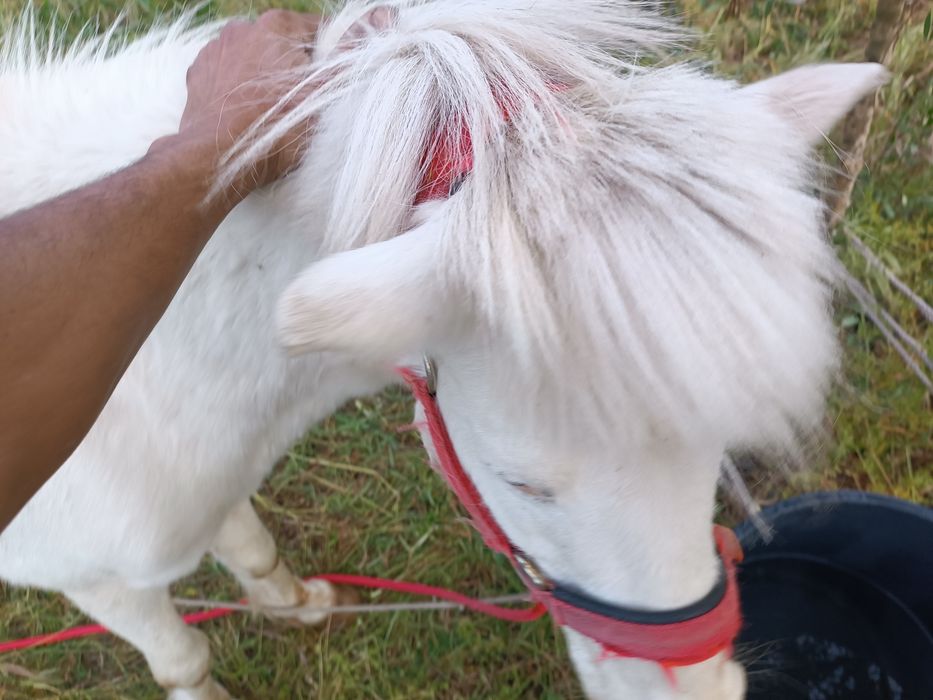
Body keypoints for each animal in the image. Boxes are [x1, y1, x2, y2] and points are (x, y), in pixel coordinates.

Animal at [0, 1, 885, 698]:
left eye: (713, 453)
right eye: (521, 482)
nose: (693, 690)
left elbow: (248, 543)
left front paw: (297, 603)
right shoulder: (96, 579)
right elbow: (182, 658)